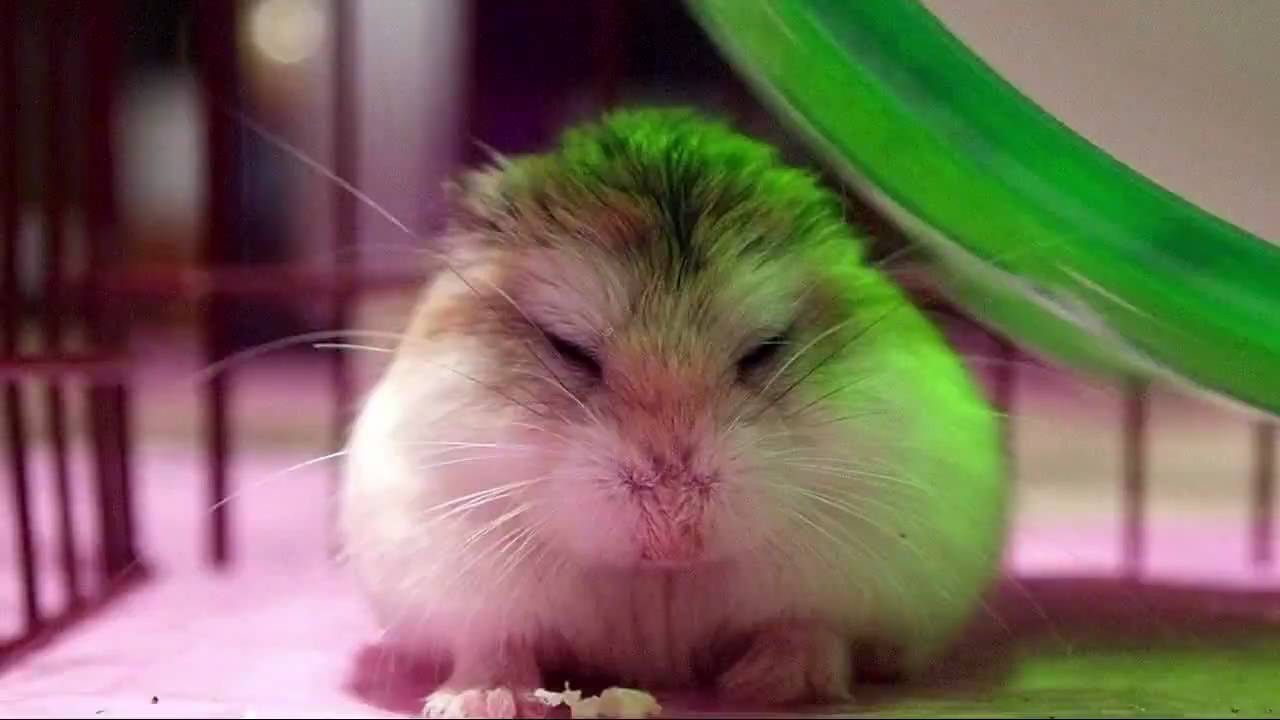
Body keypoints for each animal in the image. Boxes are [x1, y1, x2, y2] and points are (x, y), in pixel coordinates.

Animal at [339, 108, 1007, 718]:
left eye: (768, 348)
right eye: (568, 348)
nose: (672, 532)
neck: (662, 578)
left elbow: (814, 625)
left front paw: (767, 685)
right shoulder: (453, 562)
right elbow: (492, 641)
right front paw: (479, 701)